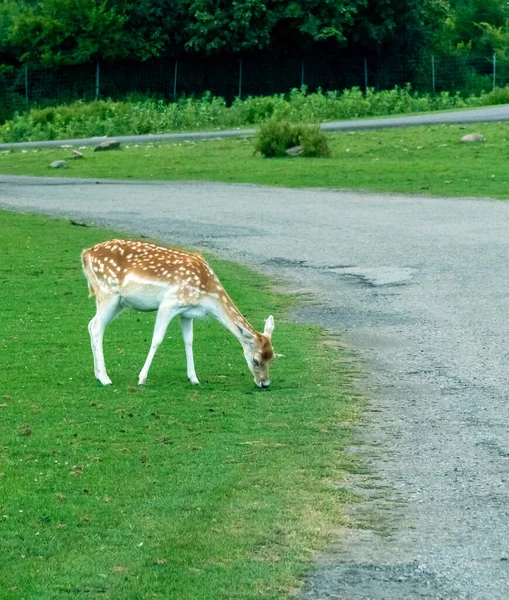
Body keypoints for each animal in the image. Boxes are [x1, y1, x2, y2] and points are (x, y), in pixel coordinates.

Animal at [81, 239, 276, 390]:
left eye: (273, 357)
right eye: (256, 360)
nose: (264, 383)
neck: (206, 295)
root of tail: (85, 254)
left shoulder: (187, 313)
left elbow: (189, 341)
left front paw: (194, 379)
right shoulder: (169, 304)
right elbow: (157, 339)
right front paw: (142, 378)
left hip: (119, 302)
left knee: (91, 324)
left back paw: (97, 374)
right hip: (108, 292)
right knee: (97, 328)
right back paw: (105, 378)